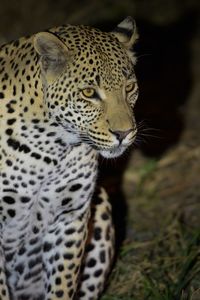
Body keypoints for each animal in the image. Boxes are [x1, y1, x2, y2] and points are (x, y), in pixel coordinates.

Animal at [0, 17, 139, 300]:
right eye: (88, 93)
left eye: (129, 87)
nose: (124, 133)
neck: (51, 150)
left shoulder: (69, 218)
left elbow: (62, 284)